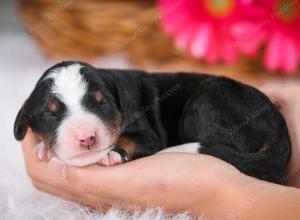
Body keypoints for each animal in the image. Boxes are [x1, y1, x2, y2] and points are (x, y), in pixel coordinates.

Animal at [14, 60, 290, 184]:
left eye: (102, 103)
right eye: (51, 113)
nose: (87, 137)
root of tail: (280, 133)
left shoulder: (149, 134)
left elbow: (133, 138)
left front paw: (112, 153)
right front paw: (43, 147)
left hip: (207, 98)